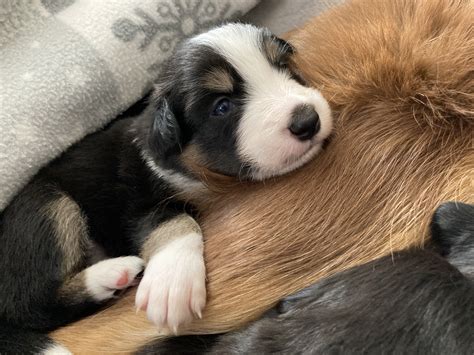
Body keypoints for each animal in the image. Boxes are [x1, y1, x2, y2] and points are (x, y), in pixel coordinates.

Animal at [0, 23, 334, 354]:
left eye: (283, 67)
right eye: (222, 106)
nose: (307, 121)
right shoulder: (138, 200)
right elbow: (174, 221)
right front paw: (173, 284)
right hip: (46, 205)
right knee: (28, 305)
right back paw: (110, 274)